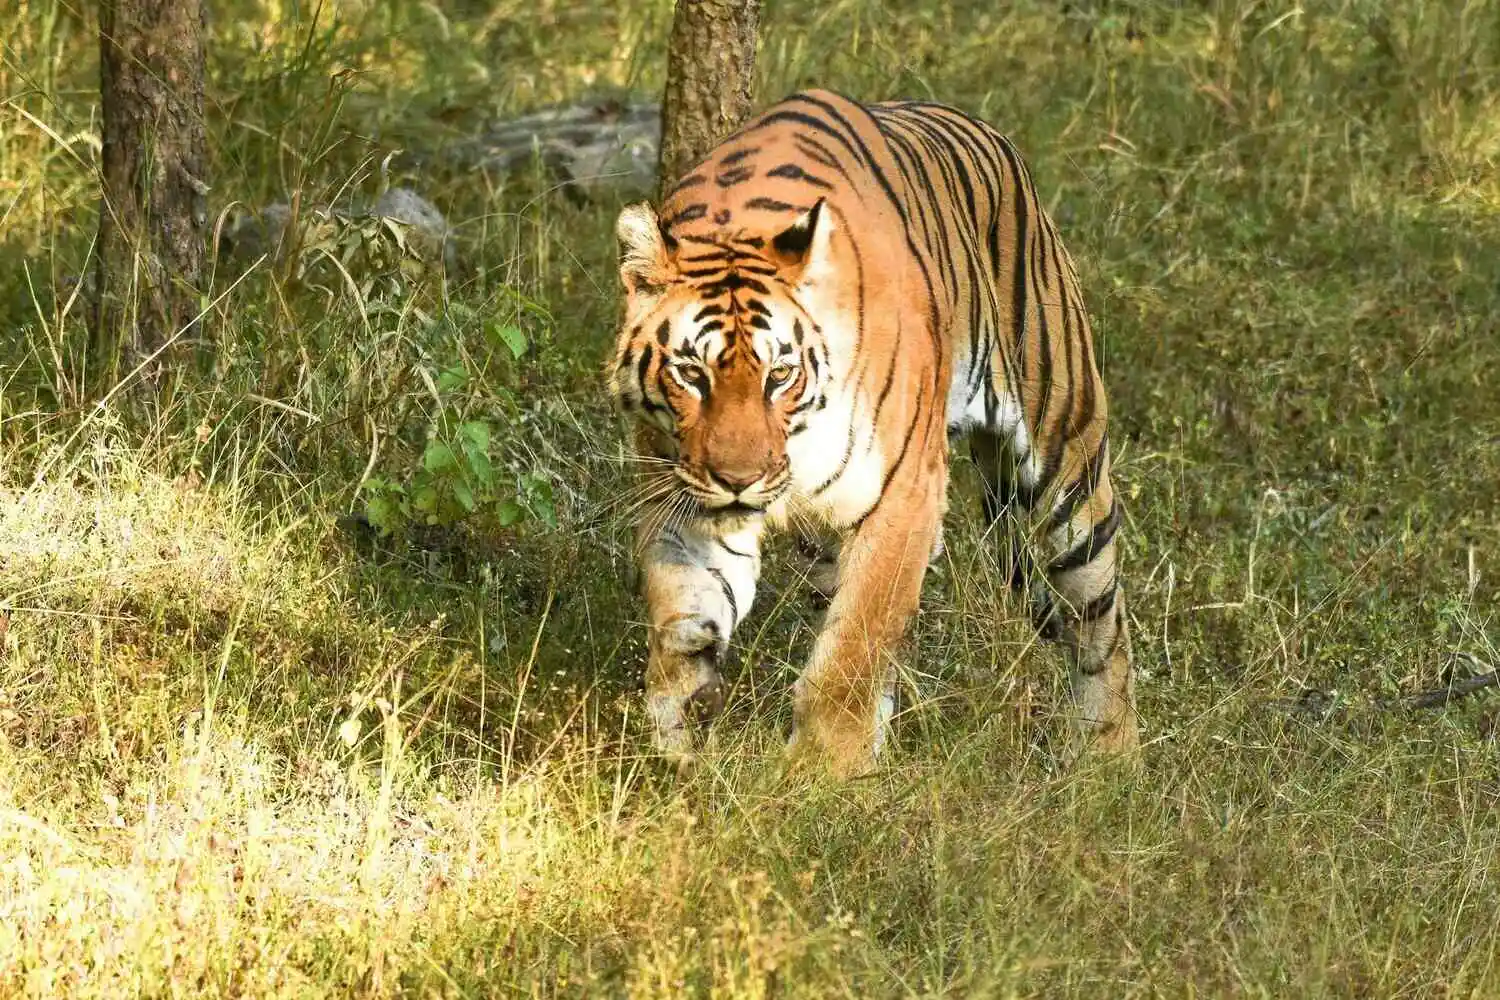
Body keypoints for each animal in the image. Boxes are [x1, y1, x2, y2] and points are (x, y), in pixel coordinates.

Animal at [606, 89, 1137, 777]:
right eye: (692, 374)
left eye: (779, 375)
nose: (739, 479)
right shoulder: (683, 499)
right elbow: (682, 608)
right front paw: (681, 732)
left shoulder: (903, 494)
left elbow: (855, 645)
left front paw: (824, 772)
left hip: (1064, 465)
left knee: (1101, 620)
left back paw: (1111, 755)